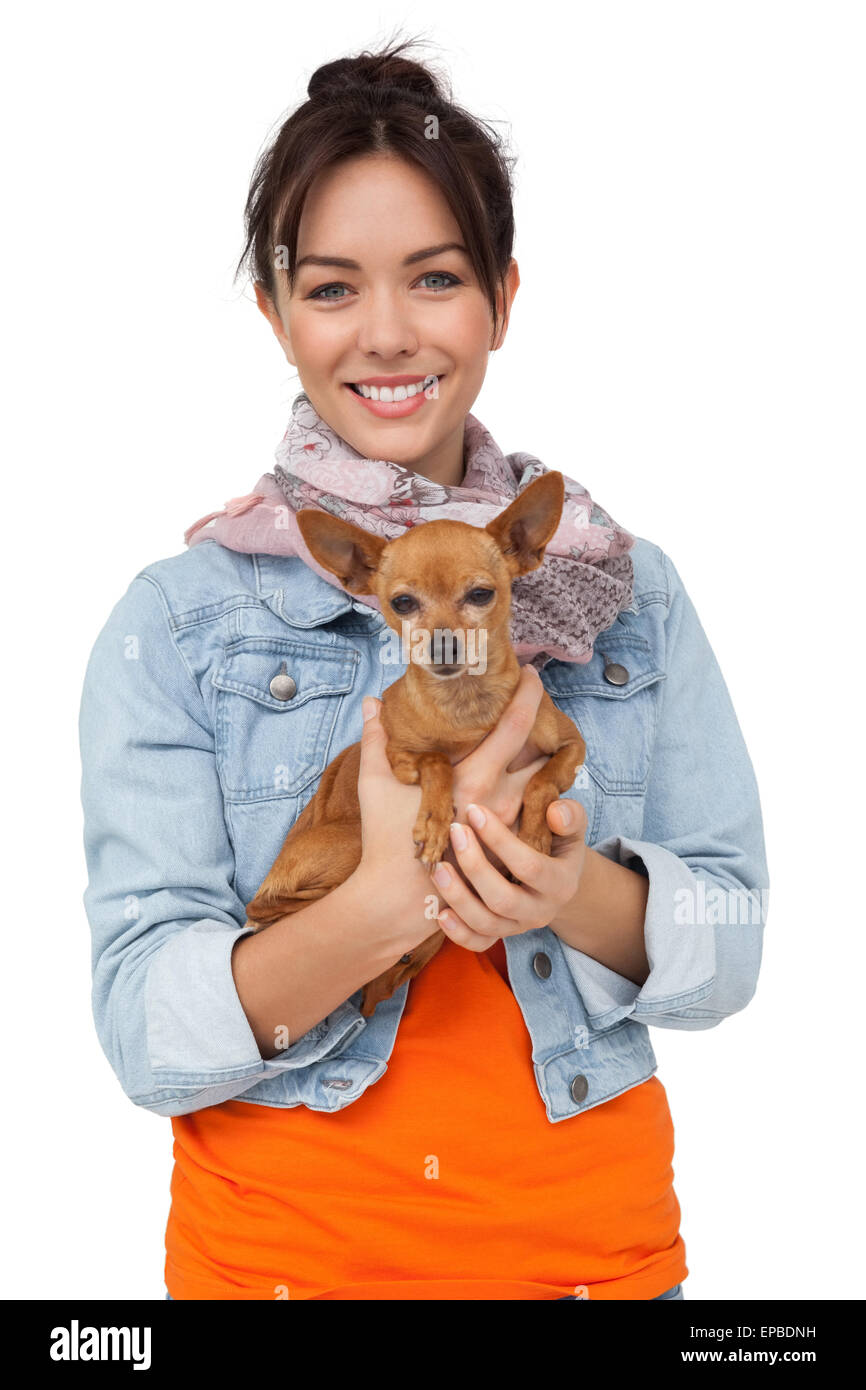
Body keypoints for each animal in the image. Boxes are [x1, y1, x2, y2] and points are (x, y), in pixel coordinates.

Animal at [244, 472, 589, 1017]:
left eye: (481, 594)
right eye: (403, 603)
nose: (444, 644)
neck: (467, 704)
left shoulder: (572, 746)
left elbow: (543, 782)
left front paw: (534, 834)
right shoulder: (397, 755)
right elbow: (437, 760)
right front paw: (433, 820)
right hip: (352, 841)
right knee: (267, 909)